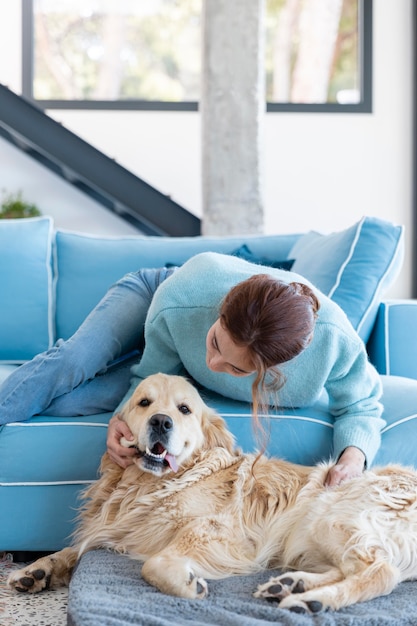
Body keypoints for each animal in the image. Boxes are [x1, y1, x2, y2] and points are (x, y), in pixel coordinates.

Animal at [7, 372, 417, 612]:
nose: (161, 422)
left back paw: (311, 600)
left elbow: (155, 565)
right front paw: (37, 569)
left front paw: (189, 586)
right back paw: (289, 585)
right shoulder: (116, 528)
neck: (150, 484)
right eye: (144, 403)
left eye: (185, 409)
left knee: (381, 572)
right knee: (354, 568)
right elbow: (74, 549)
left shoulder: (217, 531)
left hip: (330, 517)